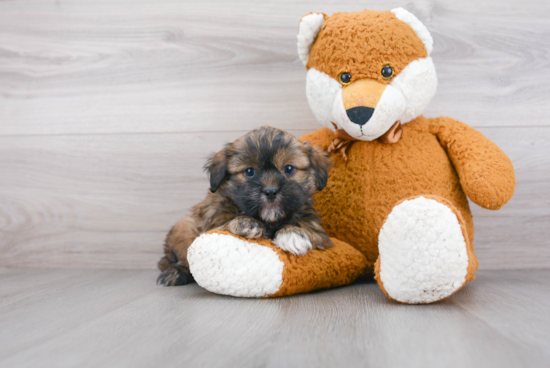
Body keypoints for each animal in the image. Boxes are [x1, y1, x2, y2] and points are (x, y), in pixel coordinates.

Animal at [157, 126, 334, 288]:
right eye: (249, 171)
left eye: (288, 169)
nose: (270, 191)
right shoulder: (211, 225)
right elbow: (225, 225)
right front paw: (246, 223)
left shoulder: (320, 233)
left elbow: (309, 228)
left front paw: (292, 234)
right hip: (182, 228)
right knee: (169, 261)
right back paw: (175, 273)